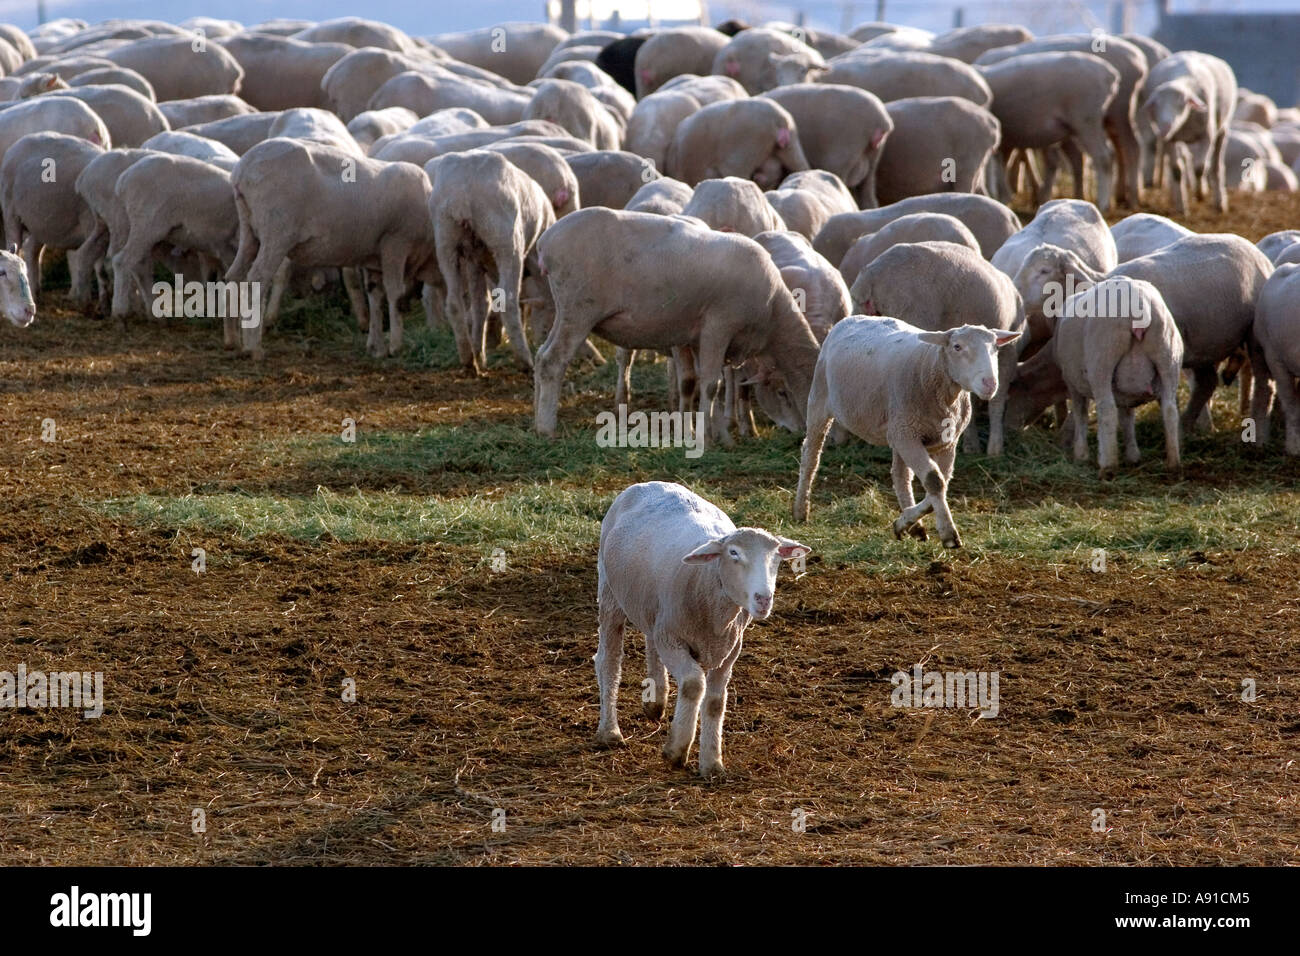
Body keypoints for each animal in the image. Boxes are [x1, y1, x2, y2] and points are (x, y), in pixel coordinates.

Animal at [595, 480, 809, 779]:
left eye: (776, 556)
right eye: (733, 553)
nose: (763, 599)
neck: (707, 584)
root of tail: (651, 483)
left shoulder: (728, 650)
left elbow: (715, 702)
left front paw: (712, 763)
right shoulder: (672, 639)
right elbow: (694, 685)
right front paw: (676, 749)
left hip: (653, 607)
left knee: (650, 639)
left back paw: (656, 701)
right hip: (610, 592)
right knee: (610, 661)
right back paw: (610, 732)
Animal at [794, 316, 1021, 547]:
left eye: (995, 347)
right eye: (957, 347)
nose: (990, 384)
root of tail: (853, 318)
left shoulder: (946, 441)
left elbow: (942, 482)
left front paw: (904, 522)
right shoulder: (908, 435)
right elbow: (935, 480)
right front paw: (949, 535)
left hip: (898, 429)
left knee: (900, 475)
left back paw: (915, 527)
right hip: (821, 400)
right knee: (810, 456)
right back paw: (800, 510)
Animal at [1053, 276, 1183, 476]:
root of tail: (1139, 305)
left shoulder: (1072, 384)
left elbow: (1081, 415)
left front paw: (1081, 455)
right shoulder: (1125, 393)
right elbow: (1127, 418)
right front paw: (1133, 456)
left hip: (1102, 356)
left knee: (1106, 409)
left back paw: (1108, 466)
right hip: (1167, 354)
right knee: (1169, 409)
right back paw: (1173, 464)